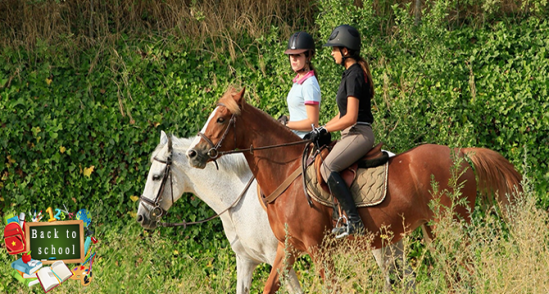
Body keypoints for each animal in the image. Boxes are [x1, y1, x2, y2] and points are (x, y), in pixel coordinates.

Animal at [187, 86, 524, 292]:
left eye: (221, 118)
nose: (193, 154)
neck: (285, 174)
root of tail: (461, 153)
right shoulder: (287, 247)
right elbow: (270, 286)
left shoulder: (318, 249)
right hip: (432, 229)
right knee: (452, 273)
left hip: (452, 226)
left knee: (466, 268)